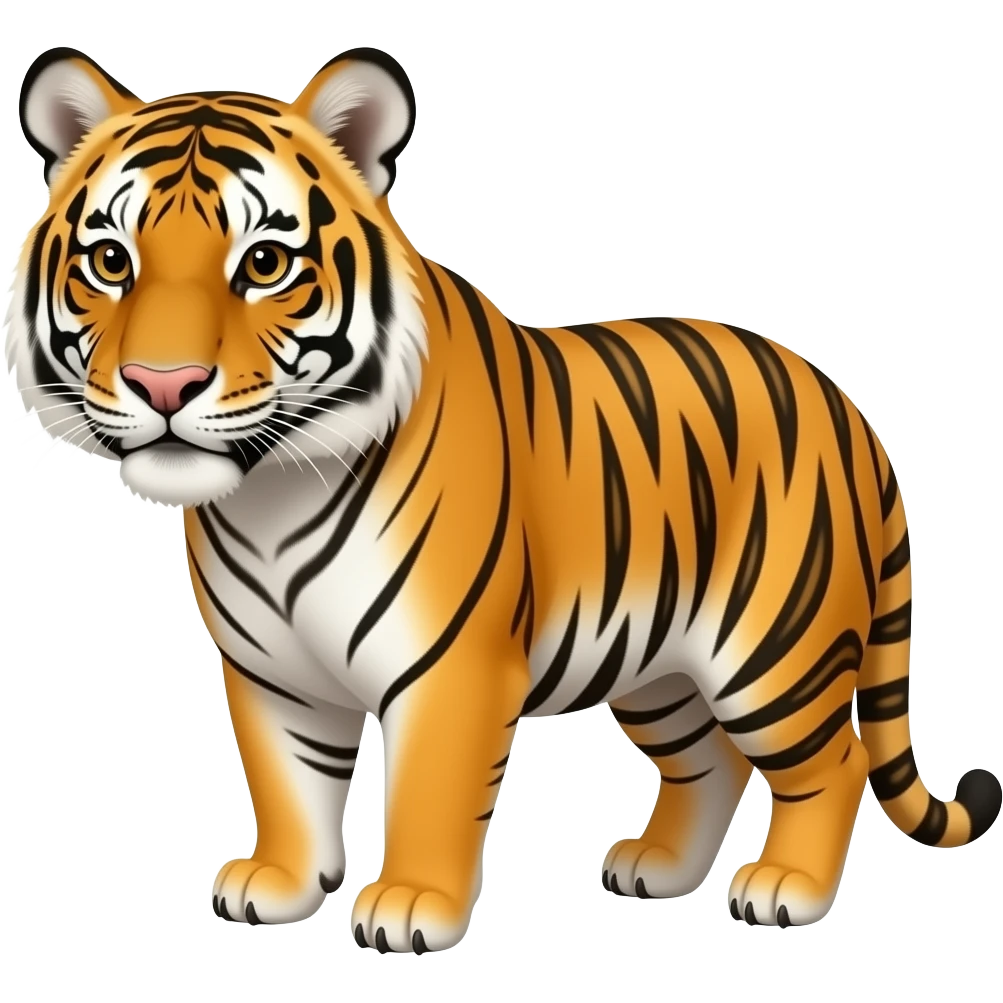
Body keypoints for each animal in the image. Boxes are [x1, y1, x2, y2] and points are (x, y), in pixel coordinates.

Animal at [8, 43, 1000, 951]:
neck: (269, 496)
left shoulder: (451, 664)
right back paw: (657, 867)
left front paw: (410, 905)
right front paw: (280, 883)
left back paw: (785, 887)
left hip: (773, 649)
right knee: (708, 760)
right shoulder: (270, 669)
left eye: (263, 264)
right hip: (660, 666)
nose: (162, 384)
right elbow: (288, 782)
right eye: (110, 261)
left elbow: (429, 792)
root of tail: (847, 405)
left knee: (832, 762)